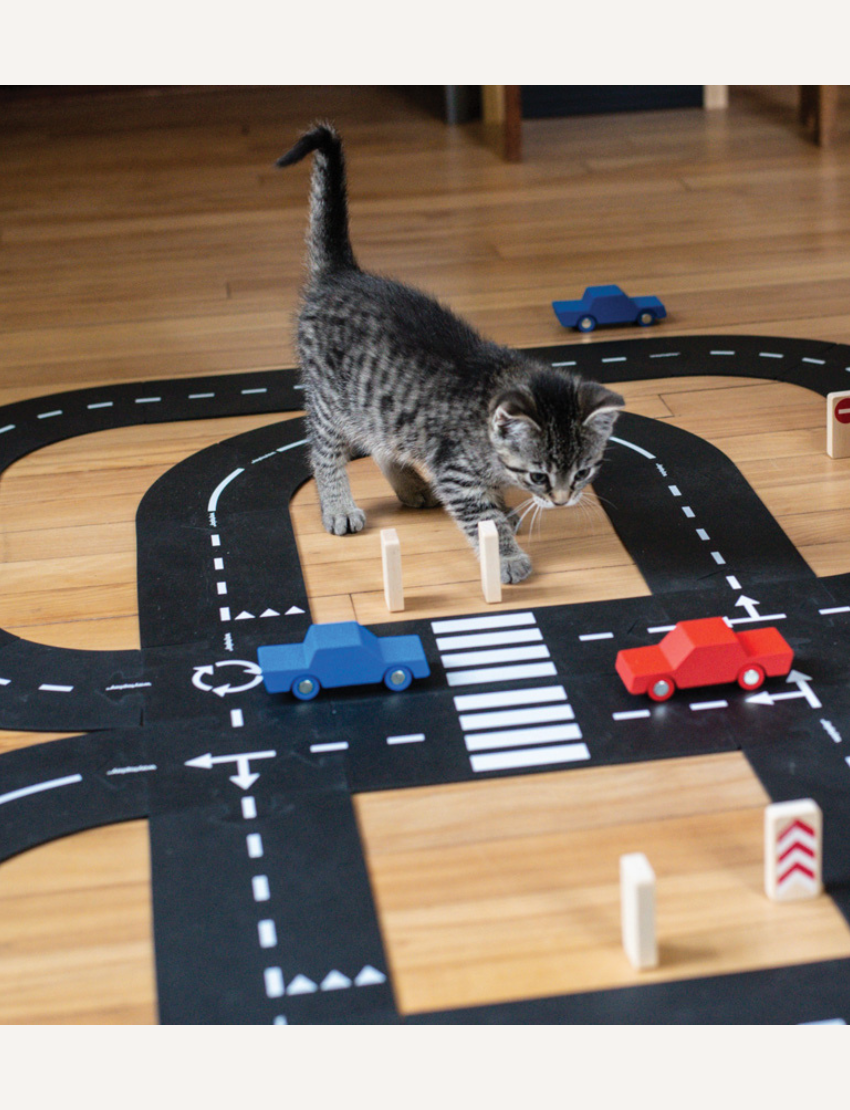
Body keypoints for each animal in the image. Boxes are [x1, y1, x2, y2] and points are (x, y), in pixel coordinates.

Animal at [279, 124, 625, 586]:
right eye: (538, 475)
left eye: (583, 472)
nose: (562, 500)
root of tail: (341, 274)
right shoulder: (456, 472)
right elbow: (481, 516)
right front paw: (506, 557)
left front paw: (505, 513)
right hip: (330, 400)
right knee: (323, 449)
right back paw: (337, 506)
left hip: (376, 407)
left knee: (381, 441)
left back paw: (408, 486)